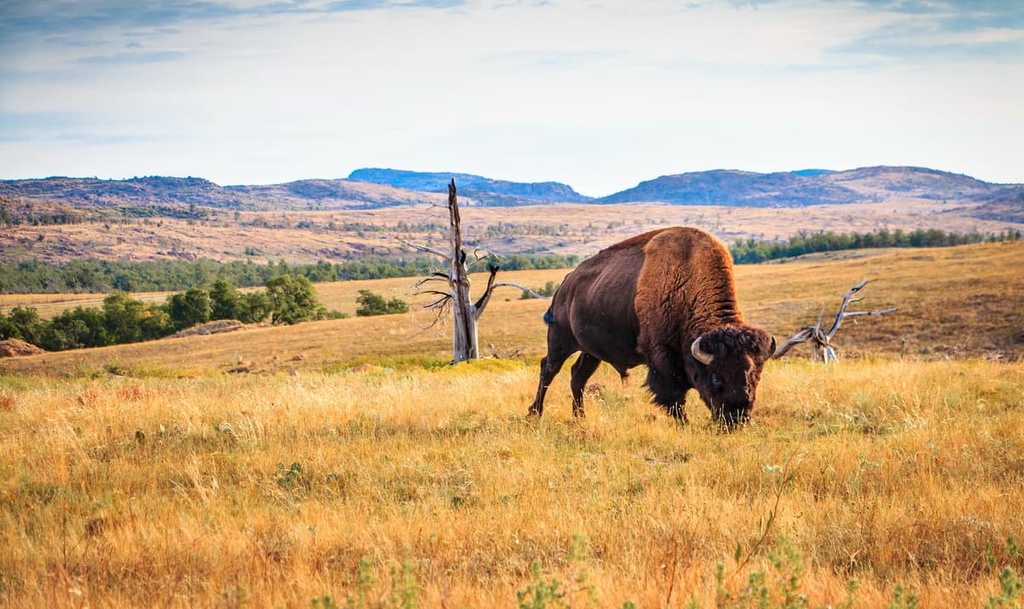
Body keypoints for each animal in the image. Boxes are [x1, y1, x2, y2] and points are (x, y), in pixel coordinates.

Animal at [528, 226, 774, 425]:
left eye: (756, 375)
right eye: (716, 376)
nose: (737, 418)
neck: (686, 280)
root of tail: (564, 285)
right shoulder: (662, 357)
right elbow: (673, 396)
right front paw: (684, 424)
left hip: (591, 352)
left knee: (578, 376)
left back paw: (580, 416)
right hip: (560, 339)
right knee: (548, 369)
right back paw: (534, 413)